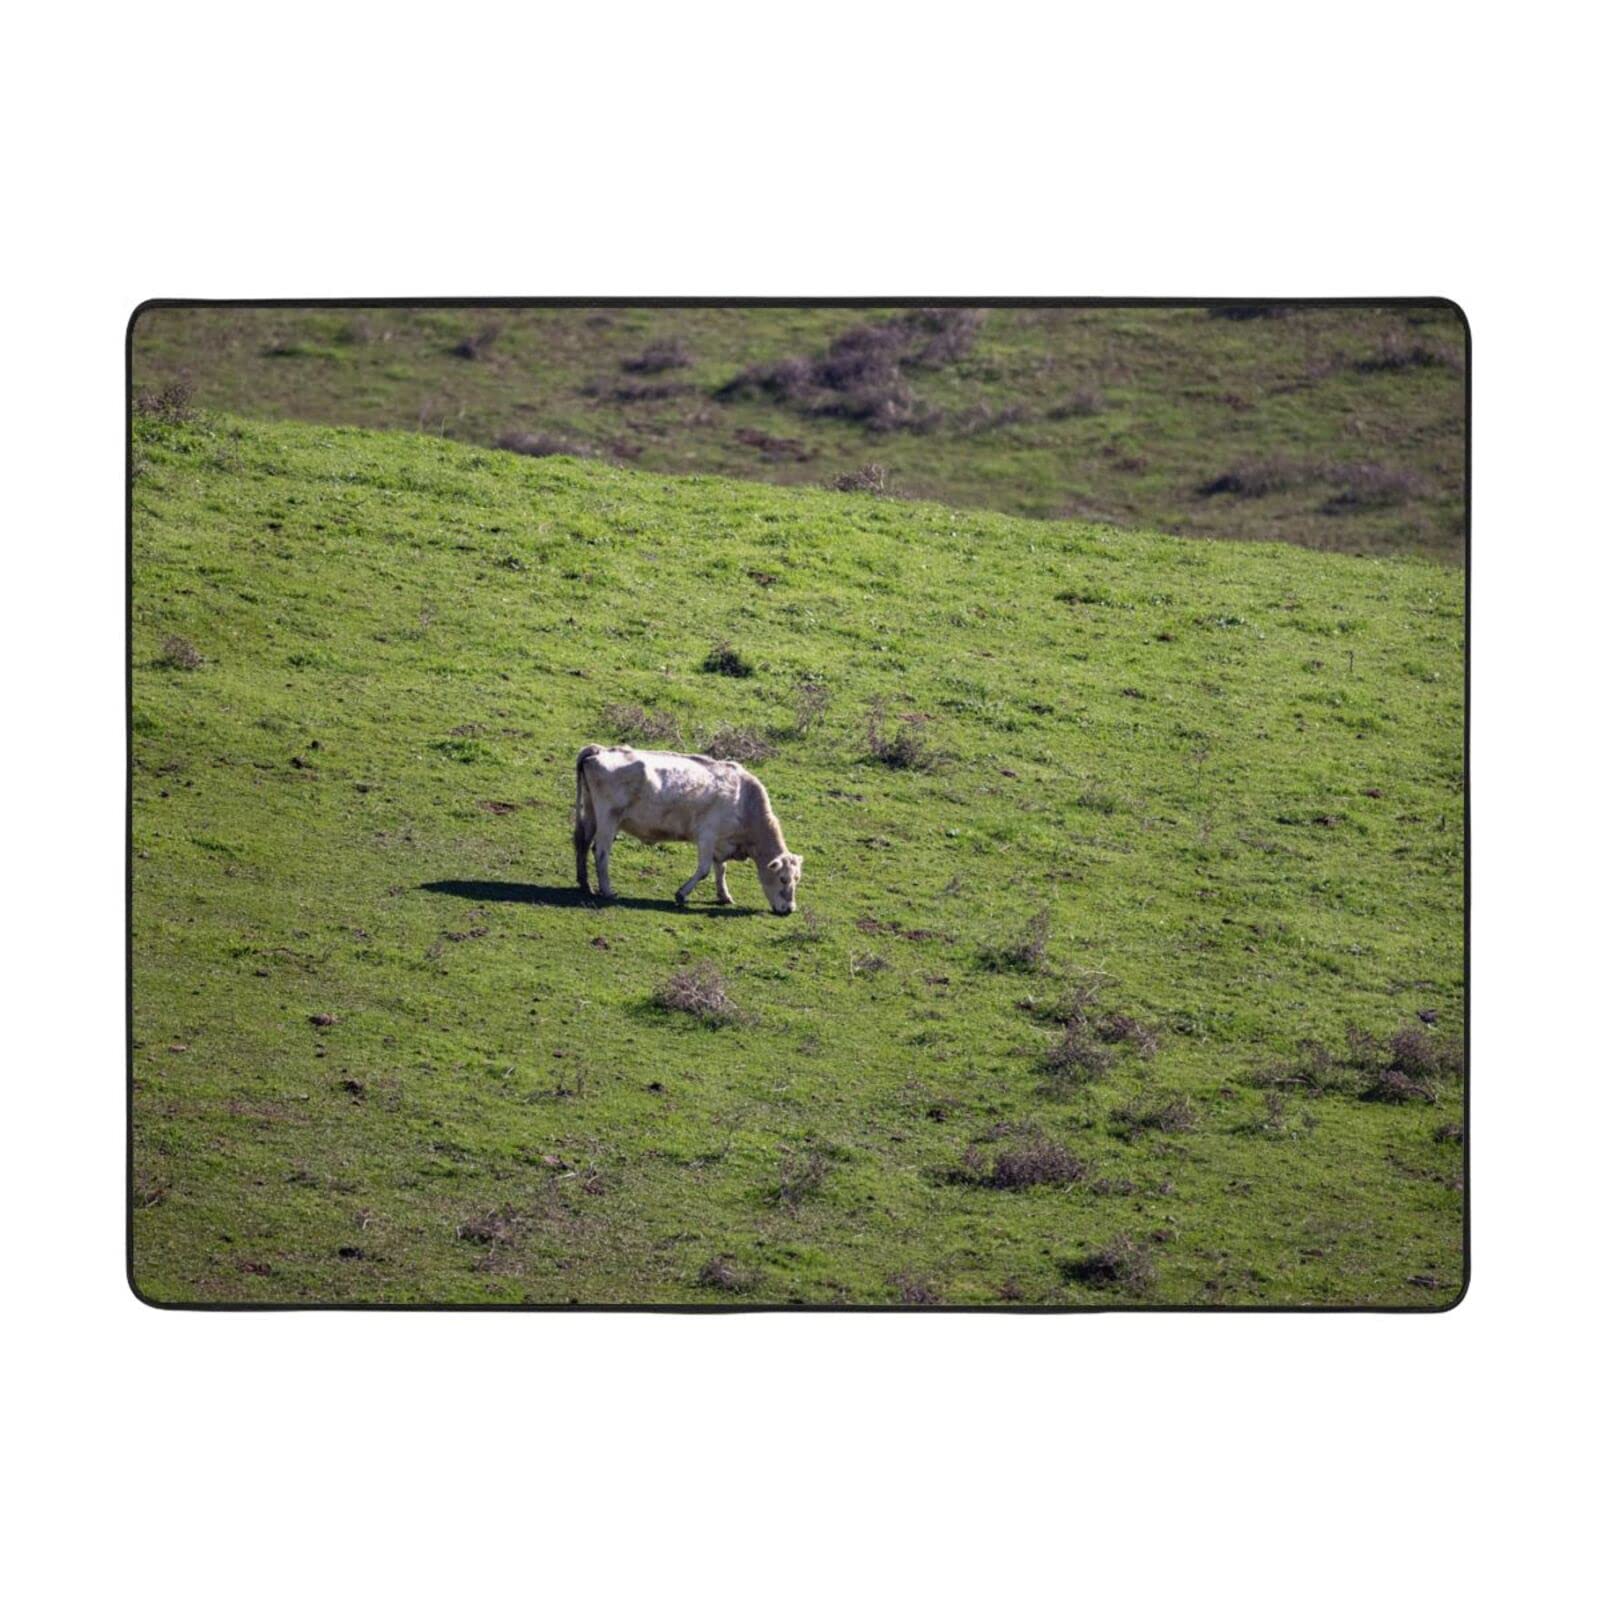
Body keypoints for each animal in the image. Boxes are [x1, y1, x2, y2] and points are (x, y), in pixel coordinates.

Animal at [573, 744, 804, 914]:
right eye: (783, 878)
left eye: (797, 879)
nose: (790, 909)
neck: (745, 801)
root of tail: (600, 749)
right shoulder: (707, 836)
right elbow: (704, 870)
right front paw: (681, 894)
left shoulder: (721, 842)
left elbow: (721, 869)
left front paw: (724, 895)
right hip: (608, 817)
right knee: (600, 851)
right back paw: (607, 891)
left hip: (591, 812)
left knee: (582, 843)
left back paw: (586, 885)